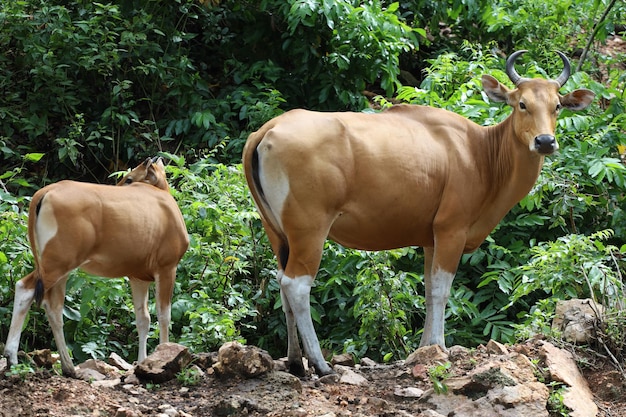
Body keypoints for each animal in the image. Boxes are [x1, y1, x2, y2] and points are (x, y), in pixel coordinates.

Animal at [3, 156, 188, 376]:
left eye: (129, 178)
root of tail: (45, 191)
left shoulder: (138, 276)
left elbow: (143, 319)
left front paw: (142, 362)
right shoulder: (167, 267)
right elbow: (164, 315)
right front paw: (164, 353)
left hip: (59, 267)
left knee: (54, 308)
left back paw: (68, 367)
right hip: (57, 262)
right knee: (25, 288)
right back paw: (12, 357)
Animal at [241, 50, 592, 376]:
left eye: (556, 106)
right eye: (521, 104)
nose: (544, 141)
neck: (480, 154)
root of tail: (268, 130)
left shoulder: (430, 239)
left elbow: (427, 289)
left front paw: (425, 347)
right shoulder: (451, 230)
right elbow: (441, 289)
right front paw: (439, 345)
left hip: (277, 232)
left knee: (280, 280)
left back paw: (295, 362)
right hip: (310, 228)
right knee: (296, 285)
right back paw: (320, 363)